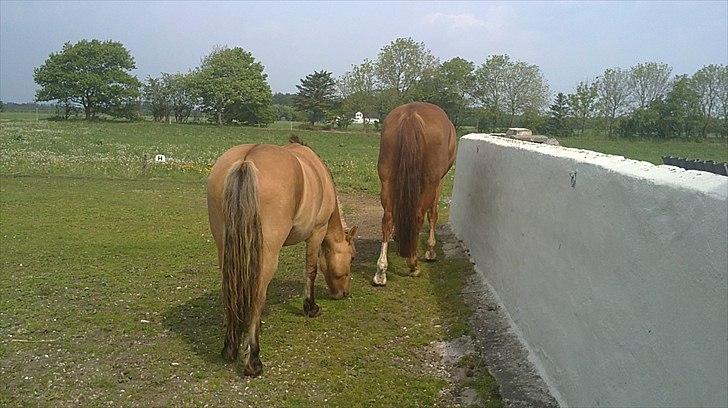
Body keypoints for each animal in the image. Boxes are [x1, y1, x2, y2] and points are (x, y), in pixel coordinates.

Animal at [206, 139, 356, 378]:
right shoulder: (317, 232)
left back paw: (230, 347)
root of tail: (246, 161)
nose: (343, 294)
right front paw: (310, 307)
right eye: (351, 258)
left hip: (225, 251)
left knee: (230, 290)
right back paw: (253, 361)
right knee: (257, 297)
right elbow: (311, 270)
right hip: (266, 256)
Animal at [376, 102, 456, 286]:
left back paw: (381, 271)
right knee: (419, 216)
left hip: (387, 178)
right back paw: (413, 264)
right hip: (430, 181)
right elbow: (433, 214)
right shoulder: (439, 181)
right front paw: (430, 250)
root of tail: (411, 114)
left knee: (388, 217)